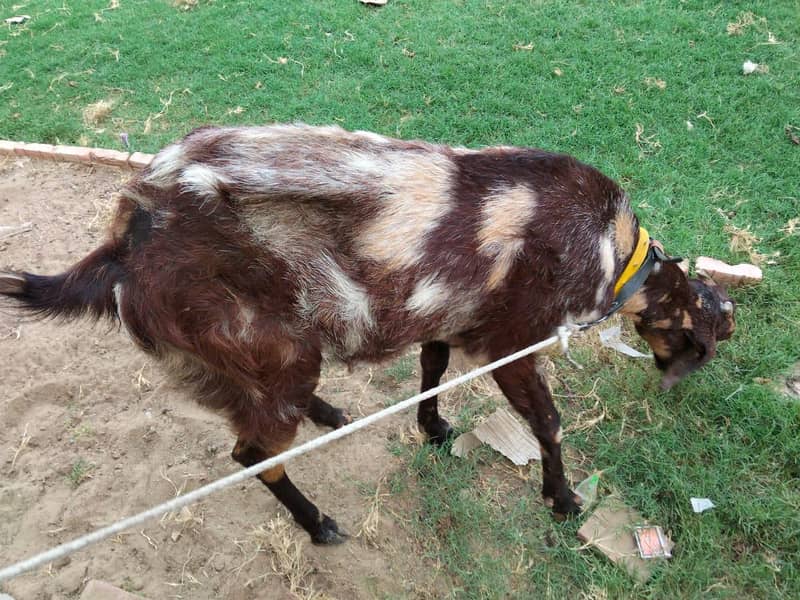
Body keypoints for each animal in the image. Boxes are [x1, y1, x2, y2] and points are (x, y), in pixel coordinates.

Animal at [0, 124, 736, 544]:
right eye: (708, 337)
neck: (617, 255)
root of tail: (126, 242)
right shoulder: (513, 341)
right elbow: (548, 424)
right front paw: (563, 500)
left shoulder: (449, 311)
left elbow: (432, 366)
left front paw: (433, 428)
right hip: (263, 343)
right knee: (252, 452)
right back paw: (318, 523)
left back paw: (327, 413)